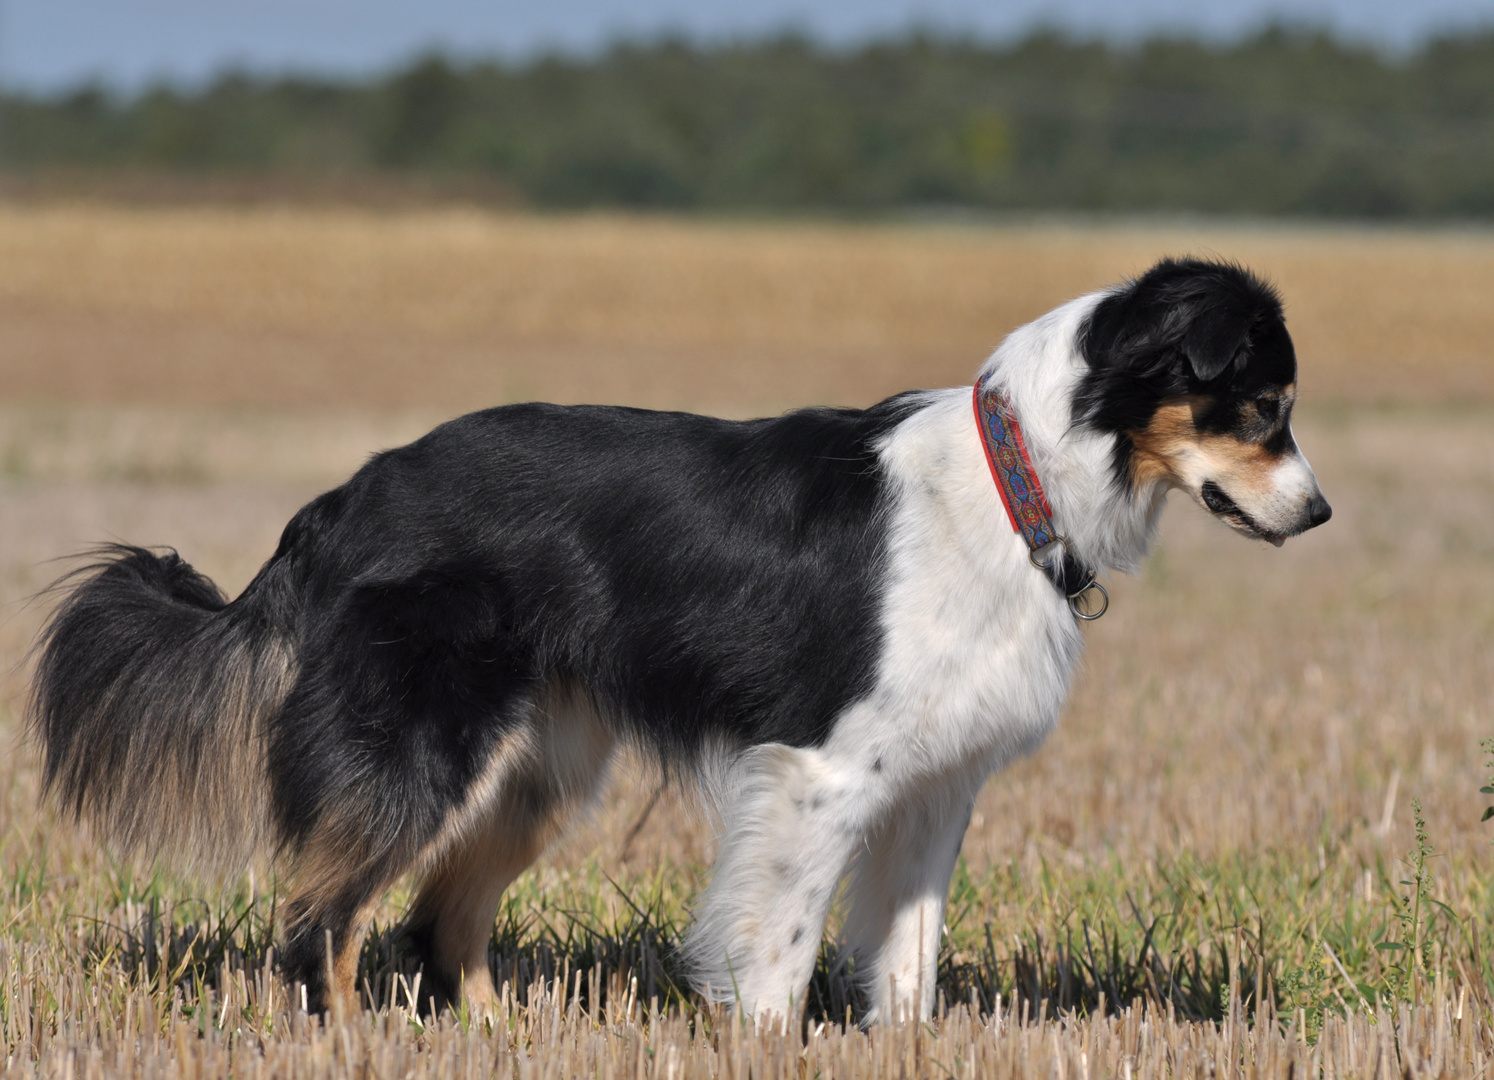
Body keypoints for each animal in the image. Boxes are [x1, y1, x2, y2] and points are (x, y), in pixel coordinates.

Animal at [26, 253, 1332, 1021]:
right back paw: (344, 1039)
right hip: (417, 749)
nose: (1320, 514)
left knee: (438, 922)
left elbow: (906, 957)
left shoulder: (935, 786)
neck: (1021, 480)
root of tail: (340, 507)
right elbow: (781, 951)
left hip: (540, 767)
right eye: (1265, 410)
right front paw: (761, 1039)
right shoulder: (823, 771)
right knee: (321, 925)